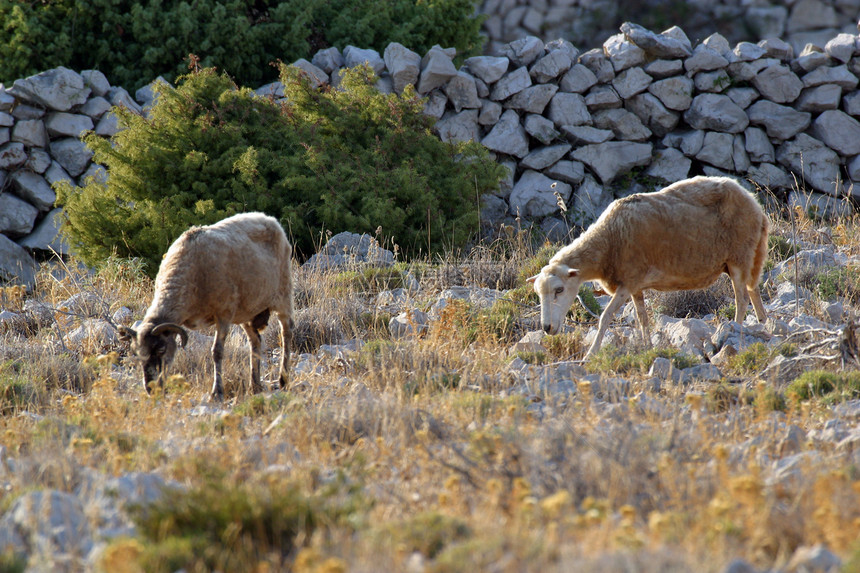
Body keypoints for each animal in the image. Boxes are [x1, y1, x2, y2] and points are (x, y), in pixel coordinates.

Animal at [117, 212, 294, 400]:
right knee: (255, 342)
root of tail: (269, 219)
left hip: (283, 294)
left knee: (286, 332)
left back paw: (283, 380)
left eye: (161, 349)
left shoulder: (224, 313)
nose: (151, 389)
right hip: (247, 312)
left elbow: (217, 351)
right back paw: (255, 385)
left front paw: (217, 392)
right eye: (136, 353)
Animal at [528, 174, 768, 358]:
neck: (608, 241)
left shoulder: (628, 282)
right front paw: (647, 347)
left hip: (739, 257)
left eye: (559, 290)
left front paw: (591, 354)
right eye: (538, 293)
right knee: (753, 290)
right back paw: (764, 324)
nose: (546, 328)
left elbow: (605, 317)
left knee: (741, 299)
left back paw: (735, 329)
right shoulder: (635, 287)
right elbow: (642, 318)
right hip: (747, 257)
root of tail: (755, 204)